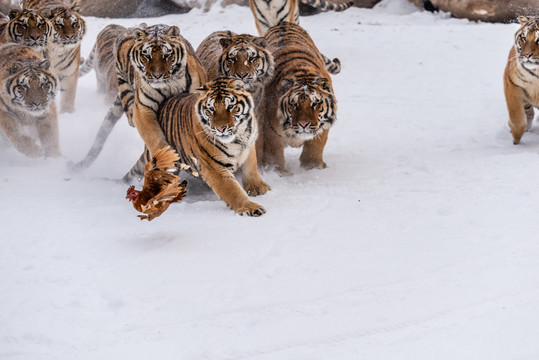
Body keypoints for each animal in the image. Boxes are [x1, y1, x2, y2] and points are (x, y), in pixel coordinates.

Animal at [68, 23, 208, 174]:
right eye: (146, 55)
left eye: (166, 55)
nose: (157, 75)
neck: (172, 83)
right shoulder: (144, 108)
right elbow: (153, 136)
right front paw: (166, 158)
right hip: (122, 80)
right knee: (127, 104)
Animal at [125, 76, 270, 217]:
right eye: (211, 109)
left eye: (230, 106)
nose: (221, 129)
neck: (238, 138)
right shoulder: (215, 167)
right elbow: (232, 190)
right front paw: (250, 207)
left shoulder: (249, 145)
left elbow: (251, 168)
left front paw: (259, 188)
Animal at [258, 21, 338, 175]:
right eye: (293, 105)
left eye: (315, 104)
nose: (303, 124)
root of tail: (284, 23)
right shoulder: (270, 129)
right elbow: (274, 152)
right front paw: (278, 172)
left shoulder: (323, 124)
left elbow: (315, 144)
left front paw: (313, 166)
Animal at [504, 15, 539, 145]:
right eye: (523, 38)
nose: (527, 55)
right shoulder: (512, 83)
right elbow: (516, 115)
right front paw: (516, 138)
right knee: (528, 111)